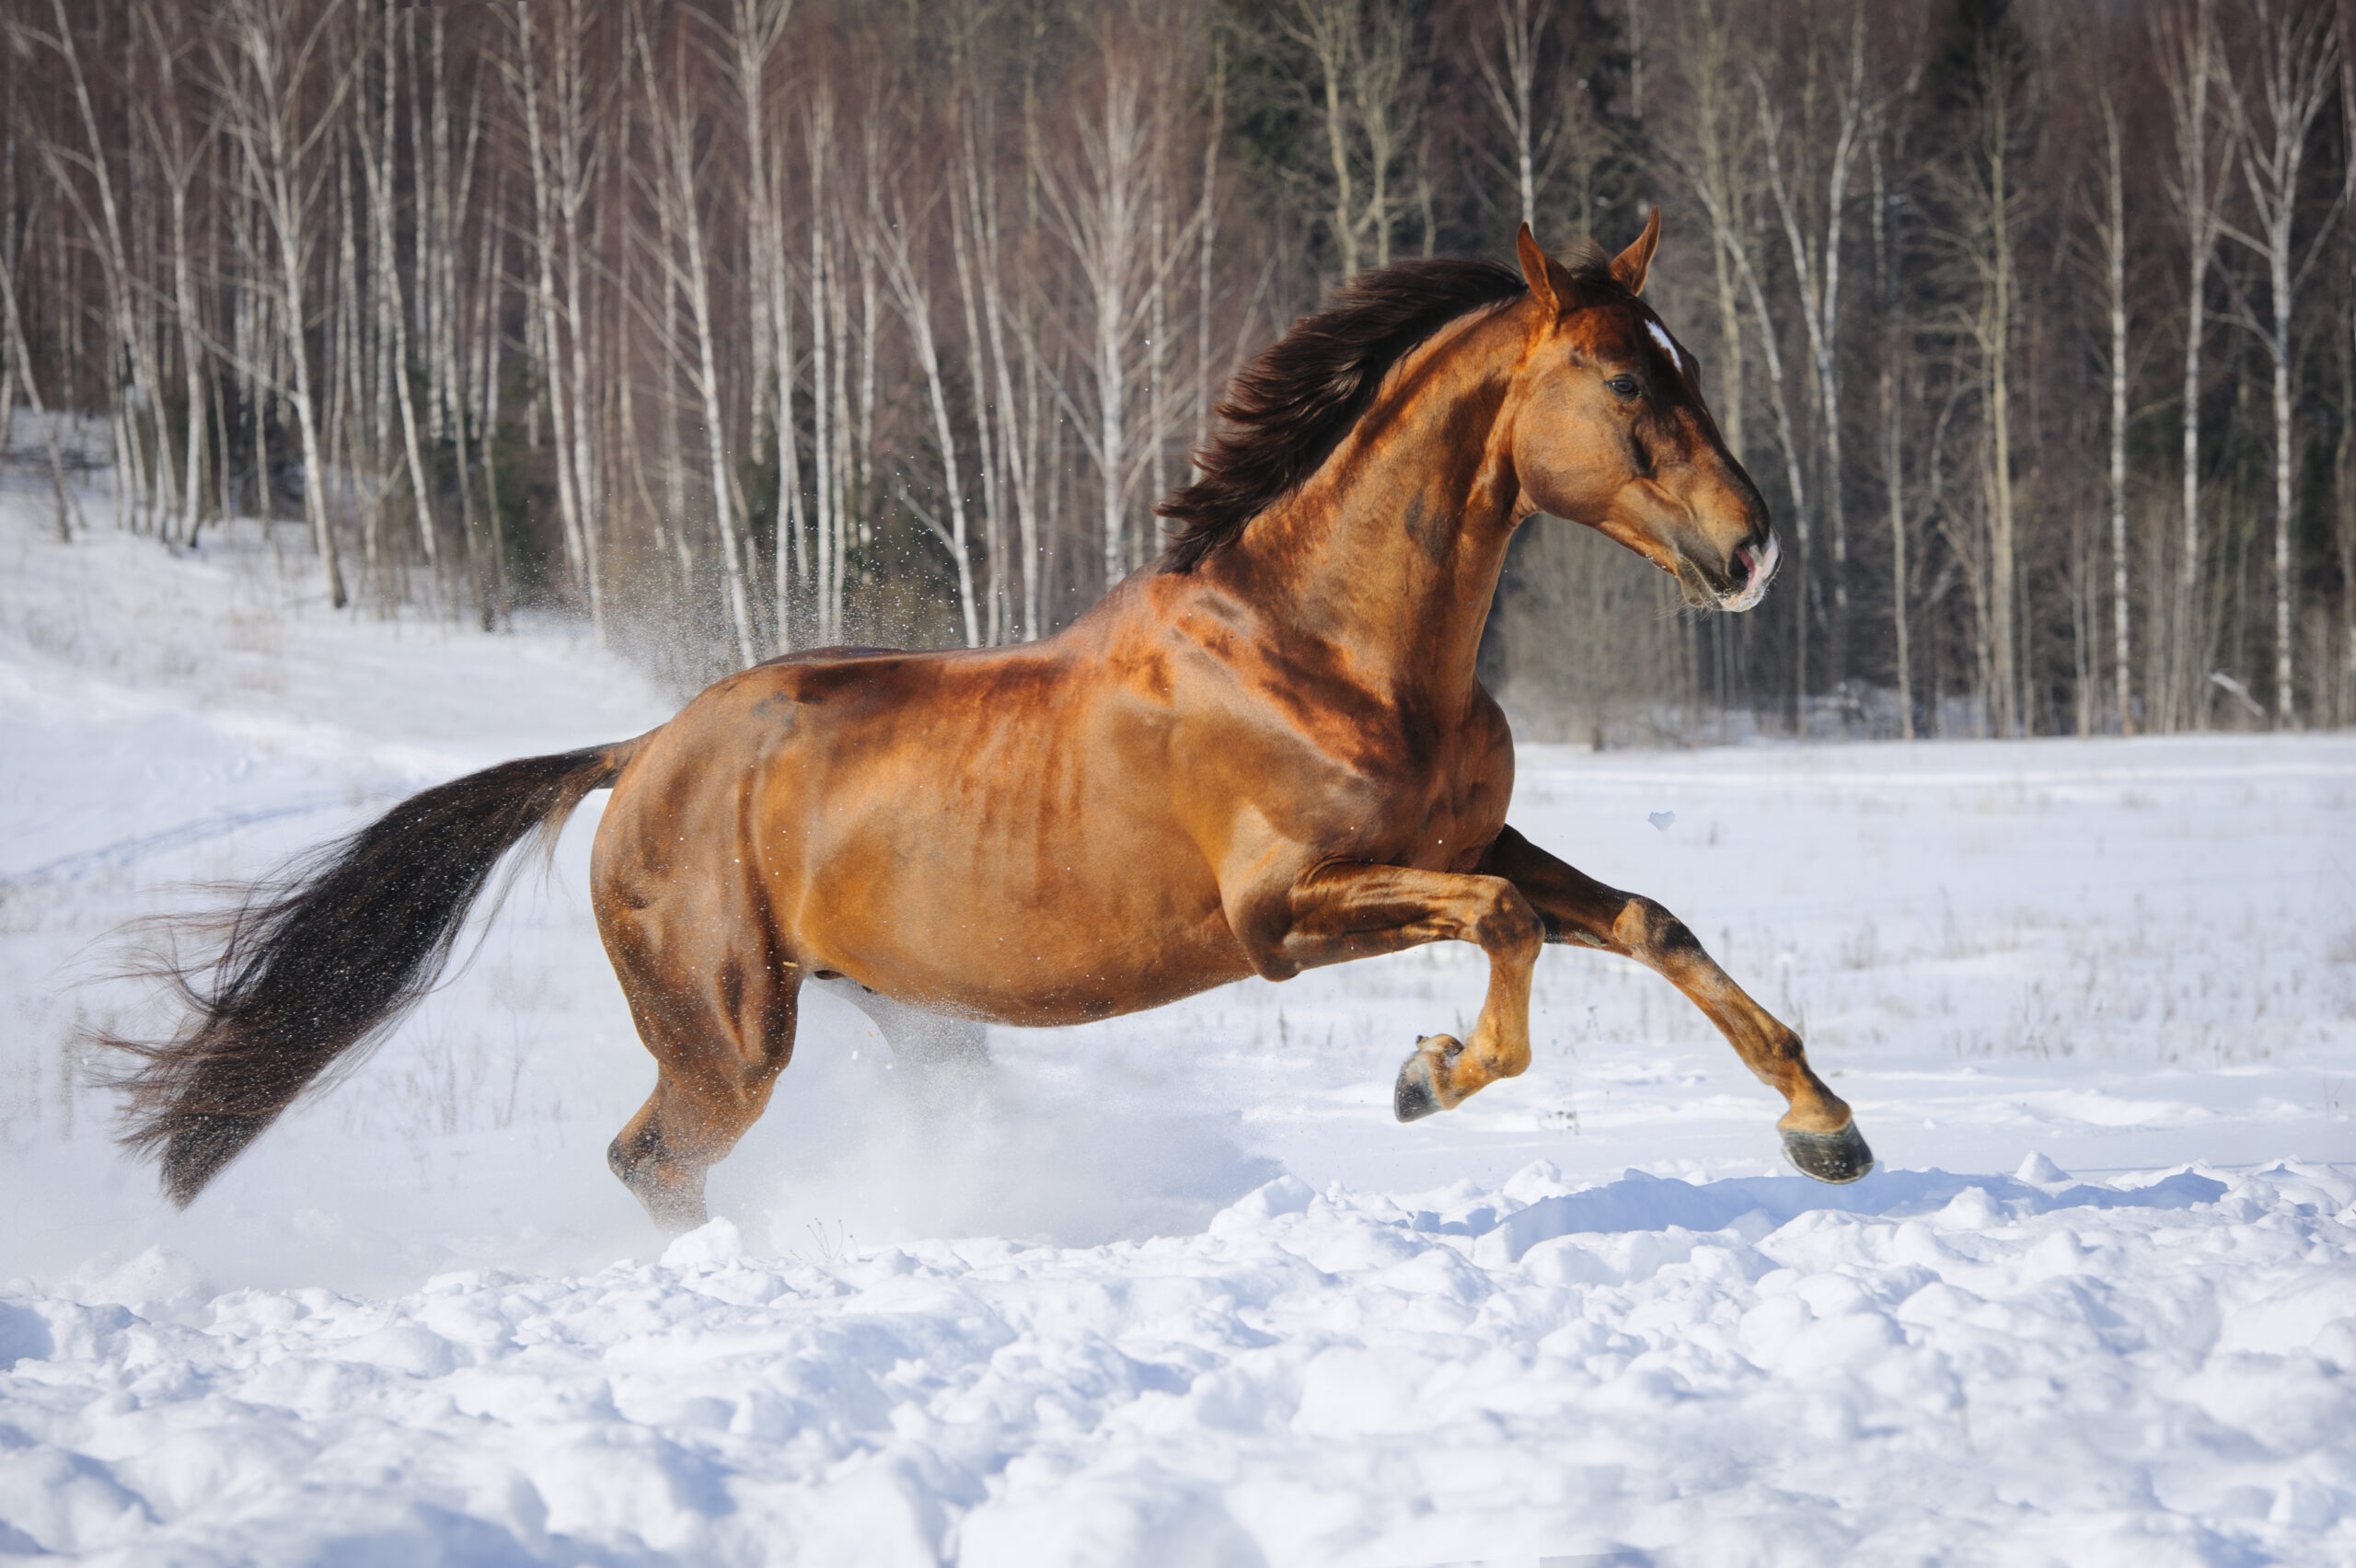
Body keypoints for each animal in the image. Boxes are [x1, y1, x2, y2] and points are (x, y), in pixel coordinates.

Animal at [99, 217, 1873, 1233]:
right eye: (1625, 381)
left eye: (1684, 363)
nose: (1755, 548)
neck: (1331, 651)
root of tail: (638, 756)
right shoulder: (1284, 916)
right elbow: (1507, 924)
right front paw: (1428, 1076)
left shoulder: (1465, 833)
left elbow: (1641, 917)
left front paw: (1826, 1128)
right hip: (728, 1036)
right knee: (654, 1161)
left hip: (901, 1013)